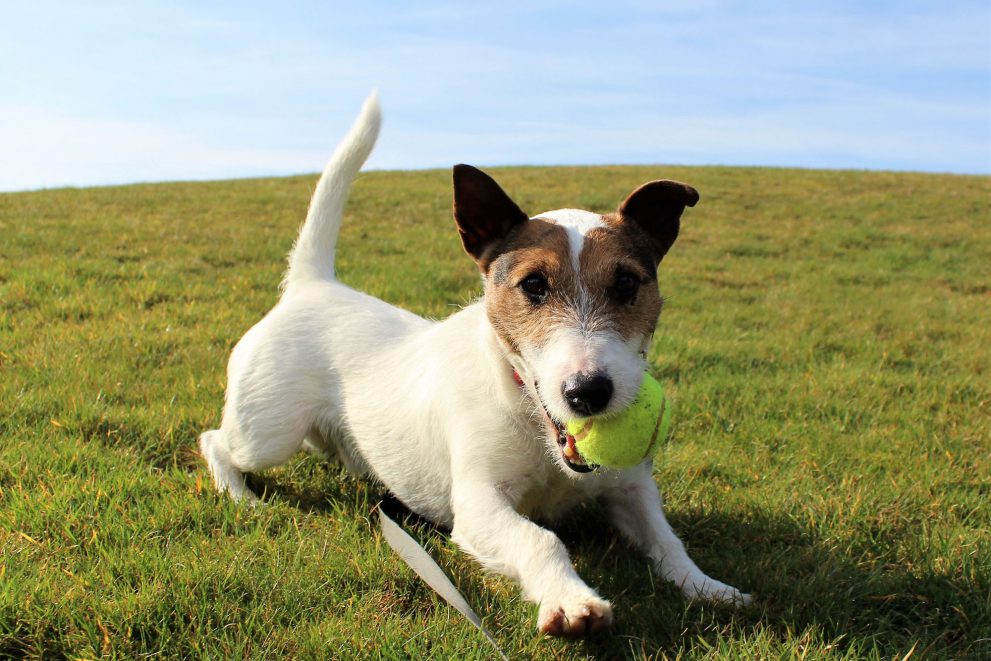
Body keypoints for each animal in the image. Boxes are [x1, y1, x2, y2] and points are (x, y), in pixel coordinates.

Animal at [198, 93, 748, 636]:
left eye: (628, 283)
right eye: (533, 285)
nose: (588, 392)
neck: (527, 409)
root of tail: (313, 285)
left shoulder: (630, 487)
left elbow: (666, 539)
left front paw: (707, 587)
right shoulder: (479, 506)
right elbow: (540, 539)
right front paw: (570, 600)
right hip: (268, 433)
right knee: (216, 442)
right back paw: (239, 495)